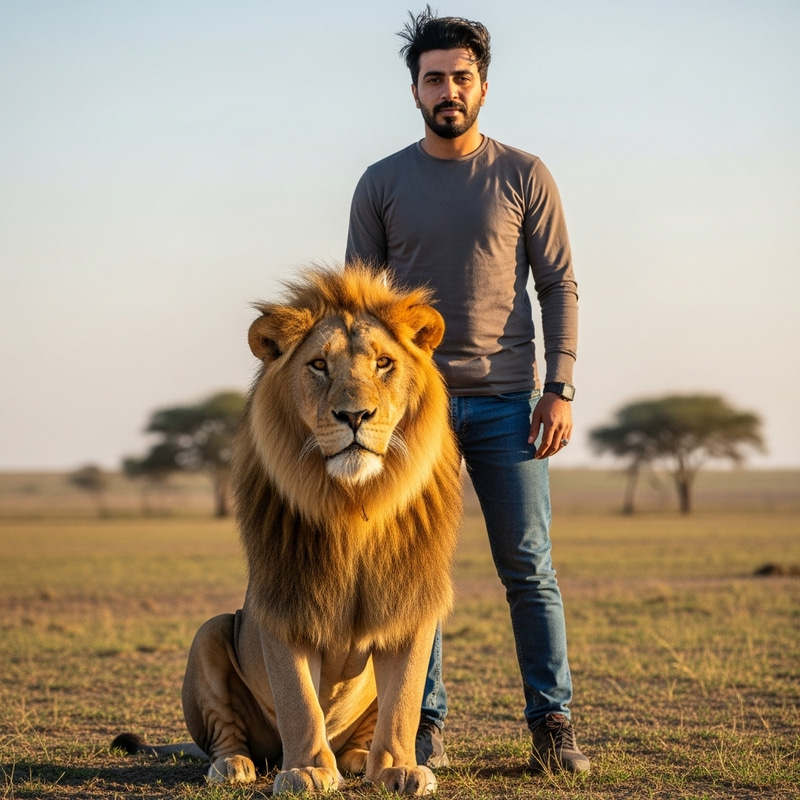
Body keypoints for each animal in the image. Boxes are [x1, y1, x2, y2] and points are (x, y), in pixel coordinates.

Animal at [113, 262, 462, 795]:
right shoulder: (284, 602)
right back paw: (235, 766)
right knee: (228, 736)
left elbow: (403, 701)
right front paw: (309, 771)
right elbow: (299, 701)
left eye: (384, 363)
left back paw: (359, 759)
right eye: (318, 365)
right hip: (212, 631)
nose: (355, 415)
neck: (353, 506)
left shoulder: (409, 605)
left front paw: (399, 769)